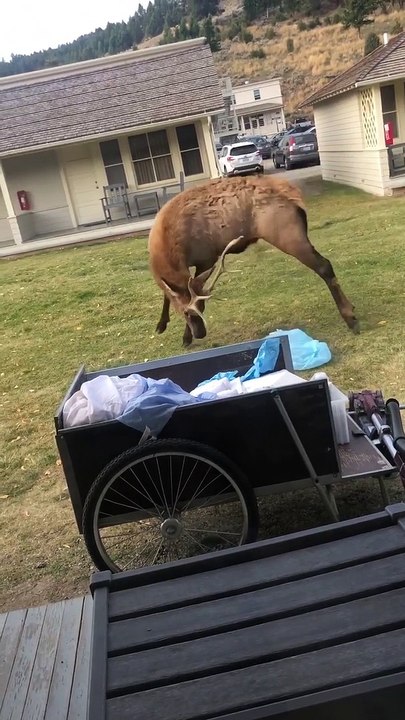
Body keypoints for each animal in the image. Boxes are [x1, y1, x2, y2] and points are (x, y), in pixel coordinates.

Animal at [148, 174, 359, 347]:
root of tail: (295, 196)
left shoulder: (206, 258)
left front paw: (184, 337)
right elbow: (168, 292)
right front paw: (161, 325)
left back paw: (350, 317)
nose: (200, 333)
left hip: (287, 235)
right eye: (187, 313)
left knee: (324, 265)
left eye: (196, 310)